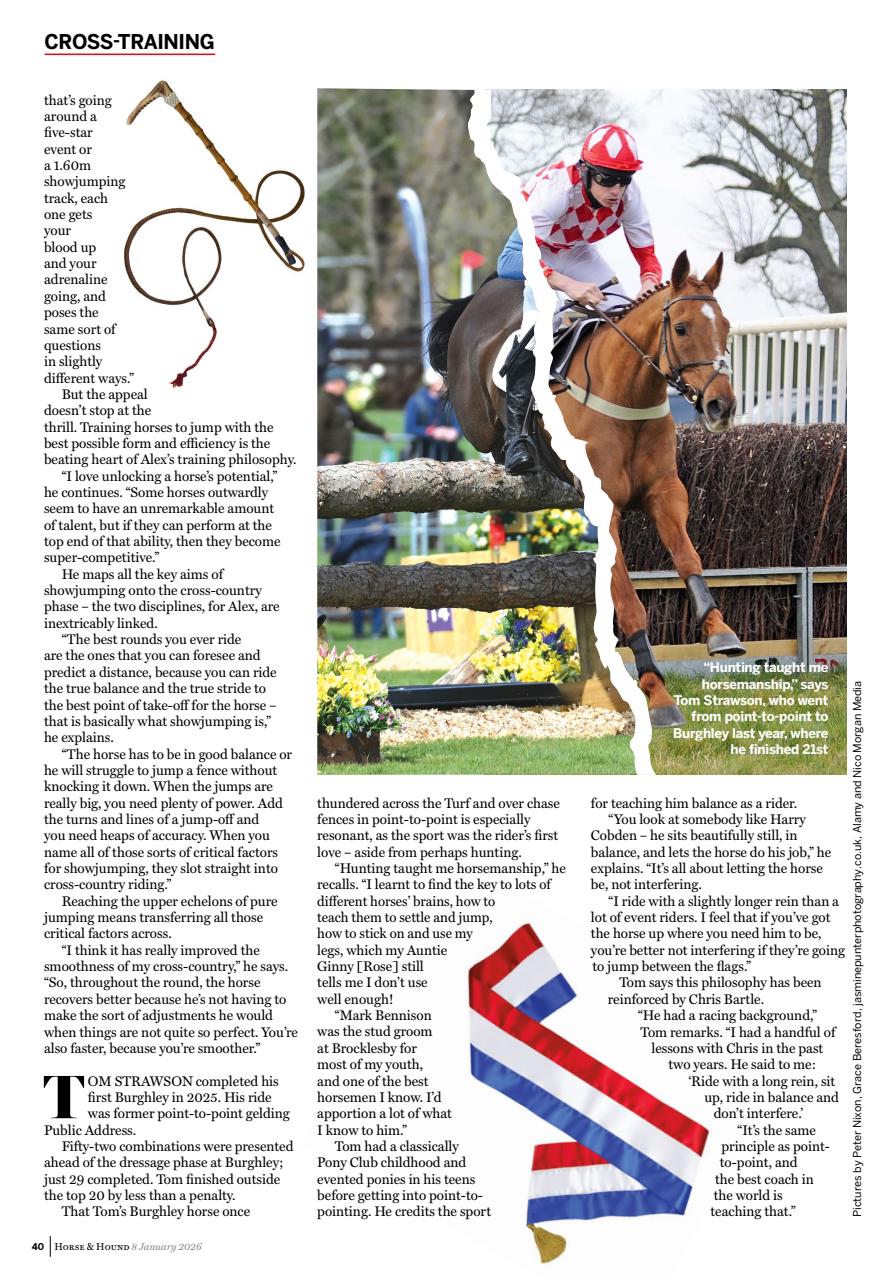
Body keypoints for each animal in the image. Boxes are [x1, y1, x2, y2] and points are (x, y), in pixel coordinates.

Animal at [428, 250, 745, 728]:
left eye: (725, 326)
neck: (628, 395)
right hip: (476, 417)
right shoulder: (605, 509)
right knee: (489, 433)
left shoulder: (665, 493)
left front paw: (720, 631)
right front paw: (657, 694)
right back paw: (517, 450)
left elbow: (689, 558)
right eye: (682, 328)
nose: (720, 406)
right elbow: (627, 602)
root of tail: (484, 293)